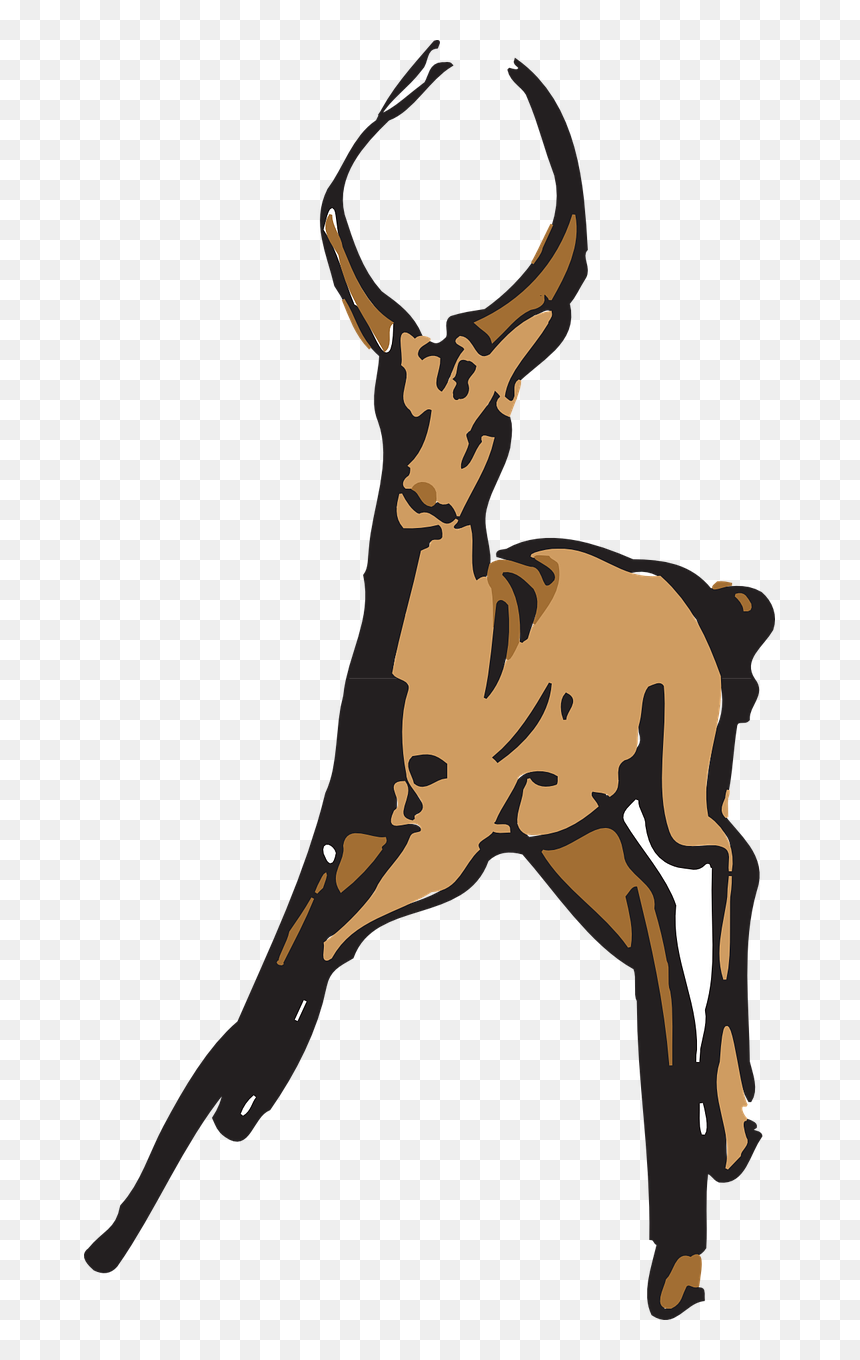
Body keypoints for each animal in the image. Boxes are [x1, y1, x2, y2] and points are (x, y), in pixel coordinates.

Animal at [85, 44, 772, 1320]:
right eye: (388, 395)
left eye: (494, 409)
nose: (425, 500)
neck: (454, 673)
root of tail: (714, 604)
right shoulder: (348, 831)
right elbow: (270, 976)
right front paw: (118, 1234)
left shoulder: (441, 847)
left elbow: (304, 963)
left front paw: (233, 1115)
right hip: (573, 835)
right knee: (652, 913)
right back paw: (679, 1254)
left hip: (668, 788)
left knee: (730, 858)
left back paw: (731, 1140)